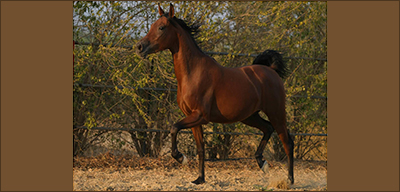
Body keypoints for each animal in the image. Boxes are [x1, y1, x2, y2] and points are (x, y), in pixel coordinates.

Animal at [135, 3, 294, 184]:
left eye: (161, 27)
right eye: (152, 26)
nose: (139, 47)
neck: (193, 73)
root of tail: (271, 71)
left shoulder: (200, 116)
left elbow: (174, 128)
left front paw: (181, 158)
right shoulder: (193, 118)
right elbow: (200, 148)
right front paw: (199, 179)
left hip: (276, 113)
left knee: (287, 143)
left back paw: (289, 180)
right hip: (249, 116)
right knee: (267, 128)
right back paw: (262, 163)